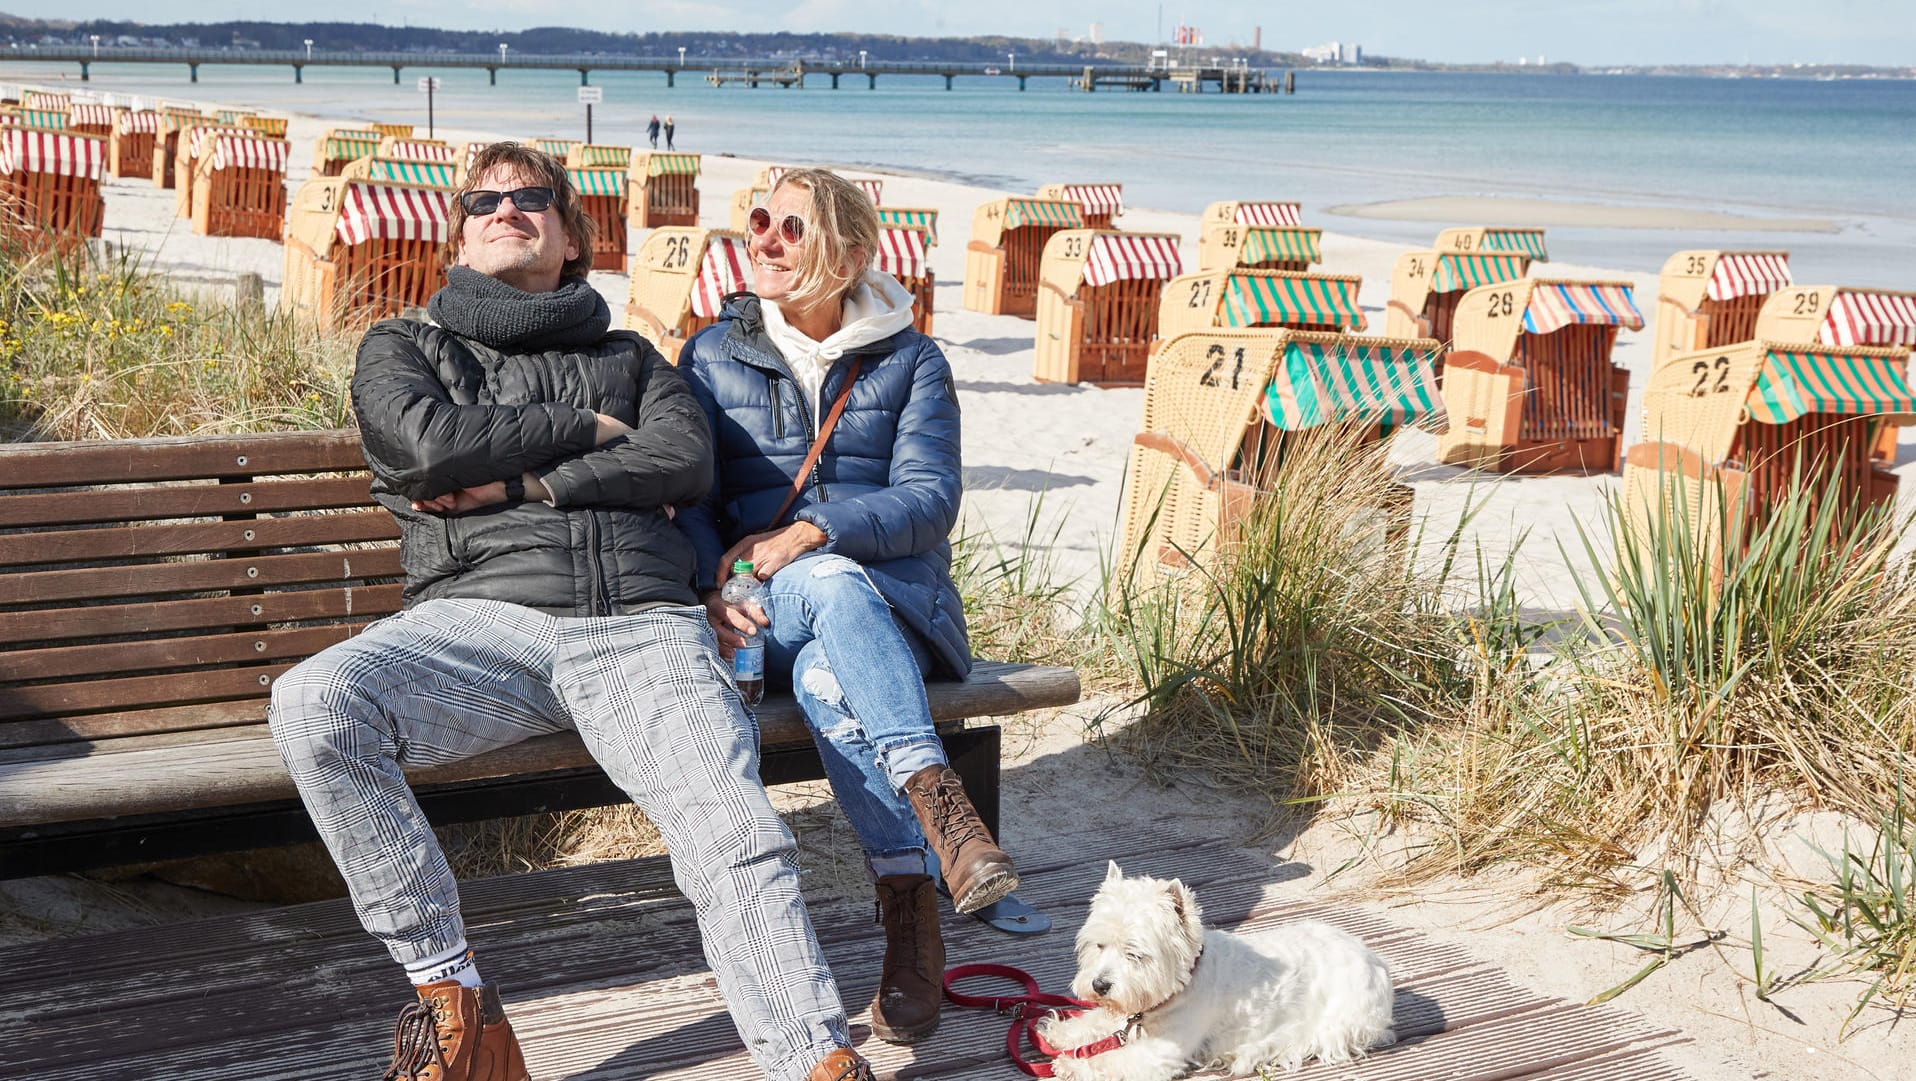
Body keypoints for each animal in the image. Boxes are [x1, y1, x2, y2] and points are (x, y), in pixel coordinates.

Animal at [1042, 862, 1402, 1081]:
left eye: (1135, 953)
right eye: (1099, 945)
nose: (1099, 985)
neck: (1184, 983)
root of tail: (1376, 960)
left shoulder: (1160, 1053)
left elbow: (1114, 1061)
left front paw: (1072, 1063)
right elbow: (1098, 1022)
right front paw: (1059, 1033)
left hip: (1334, 1024)